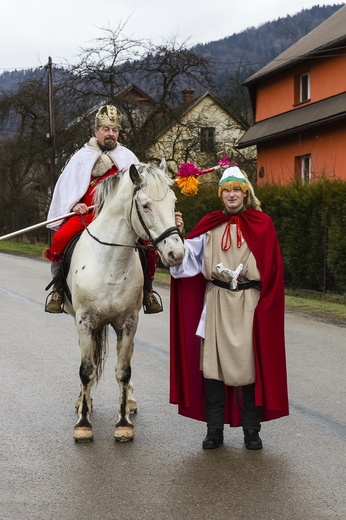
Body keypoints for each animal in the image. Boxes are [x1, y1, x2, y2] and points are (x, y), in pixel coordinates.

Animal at [63, 162, 185, 442]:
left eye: (173, 202)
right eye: (145, 205)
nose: (176, 253)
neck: (110, 263)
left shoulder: (129, 323)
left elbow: (123, 370)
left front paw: (123, 423)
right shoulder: (84, 321)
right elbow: (86, 370)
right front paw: (83, 423)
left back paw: (129, 401)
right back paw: (82, 401)